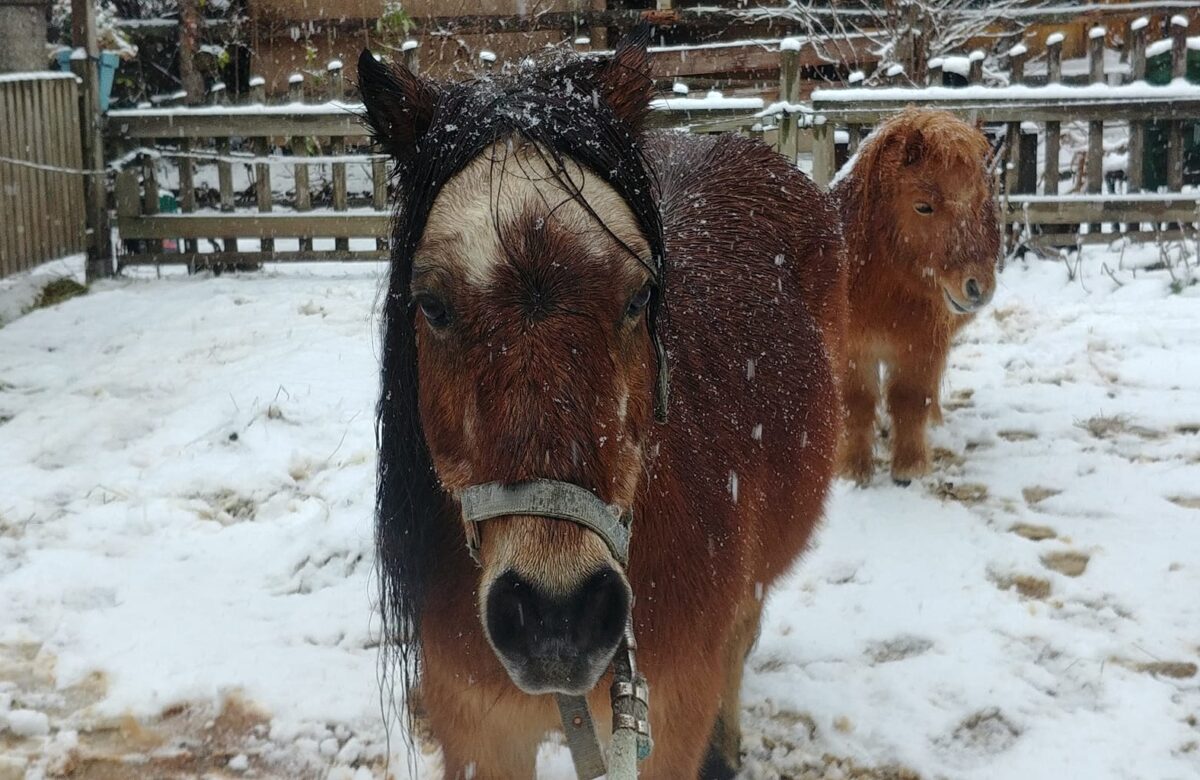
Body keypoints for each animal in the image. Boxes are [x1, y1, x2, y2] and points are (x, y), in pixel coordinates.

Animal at [355, 28, 844, 777]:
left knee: (742, 640)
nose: (558, 618)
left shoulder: (669, 717)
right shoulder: (477, 730)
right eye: (432, 305)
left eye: (639, 297)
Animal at [830, 106, 998, 482]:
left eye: (981, 201)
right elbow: (857, 404)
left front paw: (909, 468)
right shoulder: (854, 350)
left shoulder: (921, 347)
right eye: (923, 206)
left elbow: (910, 400)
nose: (978, 287)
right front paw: (854, 470)